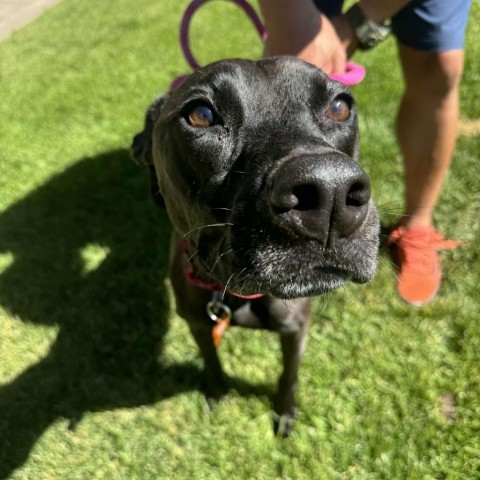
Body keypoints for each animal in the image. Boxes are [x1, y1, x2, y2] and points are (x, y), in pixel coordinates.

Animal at [131, 57, 378, 438]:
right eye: (200, 114)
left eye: (339, 107)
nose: (330, 193)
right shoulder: (197, 323)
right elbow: (211, 360)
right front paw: (217, 392)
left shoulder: (295, 328)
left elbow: (289, 376)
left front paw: (285, 413)